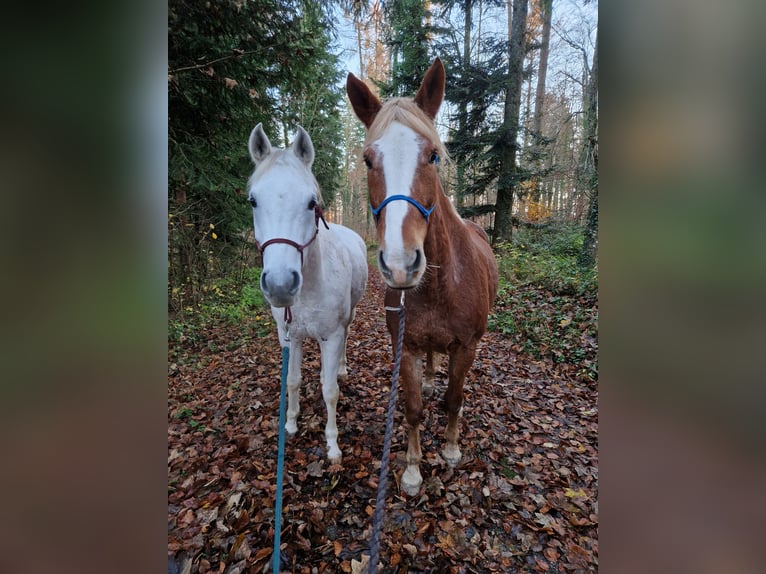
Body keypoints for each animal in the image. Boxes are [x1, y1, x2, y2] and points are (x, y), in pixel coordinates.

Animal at [246, 123, 368, 463]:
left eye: (312, 202)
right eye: (253, 201)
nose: (280, 284)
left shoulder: (332, 334)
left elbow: (330, 392)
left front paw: (333, 445)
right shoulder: (290, 336)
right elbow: (292, 380)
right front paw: (290, 424)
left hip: (348, 319)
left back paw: (340, 369)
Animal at [346, 58, 499, 495]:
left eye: (433, 156)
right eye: (368, 160)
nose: (401, 264)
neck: (436, 287)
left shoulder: (466, 347)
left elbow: (454, 398)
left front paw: (450, 449)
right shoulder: (407, 347)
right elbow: (413, 408)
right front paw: (413, 470)